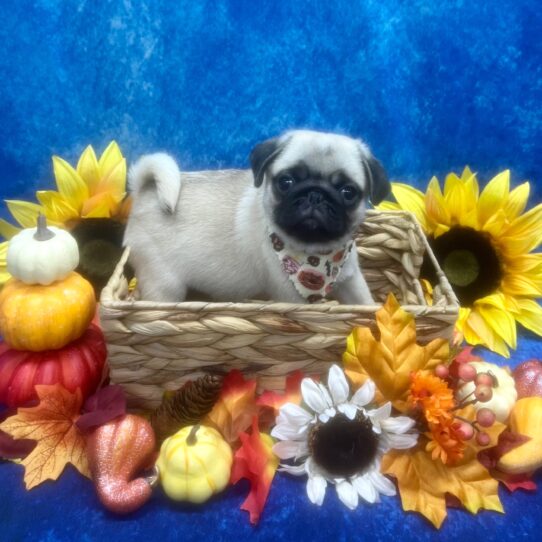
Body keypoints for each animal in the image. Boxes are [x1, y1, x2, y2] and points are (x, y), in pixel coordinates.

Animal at [124, 130, 392, 304]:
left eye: (348, 192)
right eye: (286, 182)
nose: (315, 195)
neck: (315, 254)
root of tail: (144, 191)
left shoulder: (351, 279)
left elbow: (364, 303)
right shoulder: (291, 298)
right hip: (164, 284)